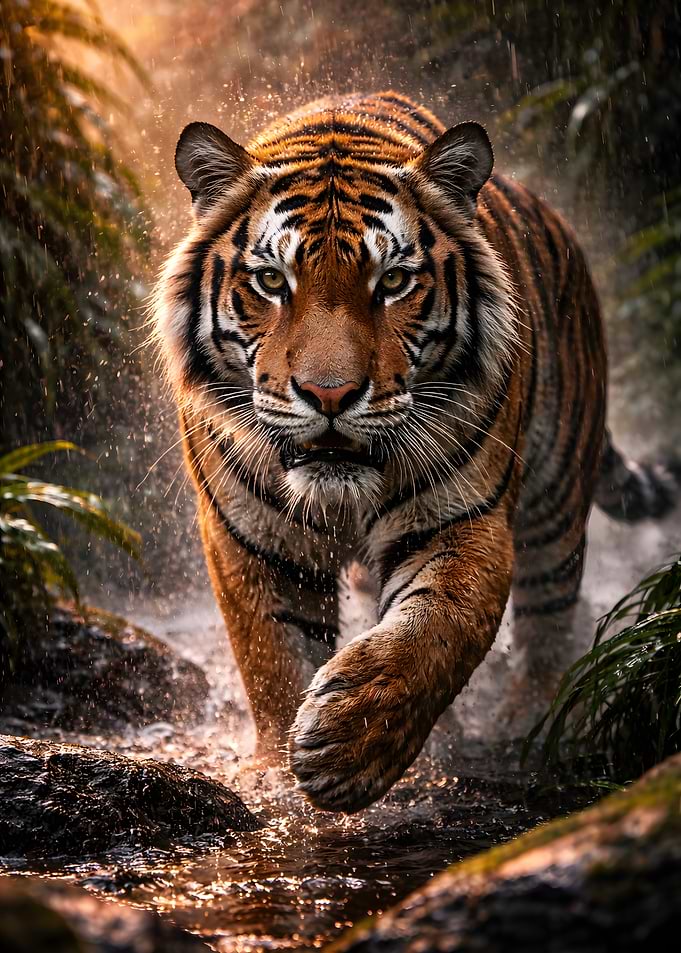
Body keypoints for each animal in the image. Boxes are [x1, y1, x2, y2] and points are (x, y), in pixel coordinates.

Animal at [153, 91, 676, 813]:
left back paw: (527, 719)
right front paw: (278, 776)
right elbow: (272, 654)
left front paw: (348, 746)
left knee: (548, 618)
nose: (330, 393)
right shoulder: (251, 535)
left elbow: (437, 627)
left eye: (394, 281)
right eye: (271, 280)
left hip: (556, 501)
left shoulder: (462, 519)